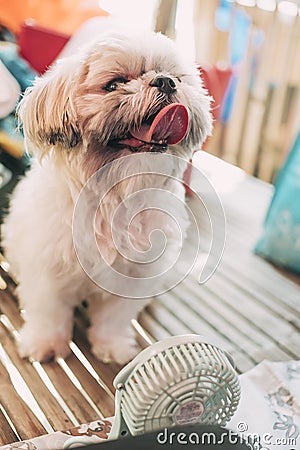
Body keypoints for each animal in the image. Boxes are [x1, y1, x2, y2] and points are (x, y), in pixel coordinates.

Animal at [2, 31, 213, 364]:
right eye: (114, 84)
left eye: (177, 78)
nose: (165, 82)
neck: (116, 193)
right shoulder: (46, 269)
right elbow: (48, 312)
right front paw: (45, 342)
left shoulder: (133, 277)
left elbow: (113, 318)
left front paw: (111, 345)